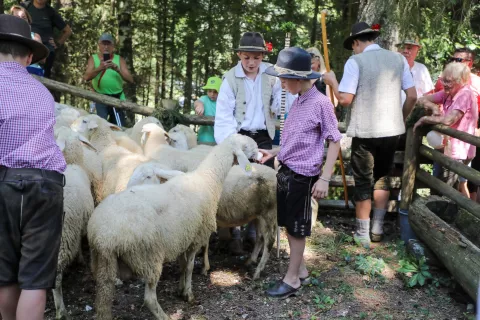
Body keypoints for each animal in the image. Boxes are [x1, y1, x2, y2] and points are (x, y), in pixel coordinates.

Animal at [87, 133, 256, 320]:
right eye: (246, 146)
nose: (260, 154)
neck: (207, 180)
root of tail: (102, 235)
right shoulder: (195, 238)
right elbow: (189, 267)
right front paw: (188, 294)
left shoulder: (183, 236)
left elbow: (182, 265)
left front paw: (180, 289)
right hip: (148, 256)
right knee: (149, 298)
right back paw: (164, 316)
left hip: (102, 260)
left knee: (103, 297)